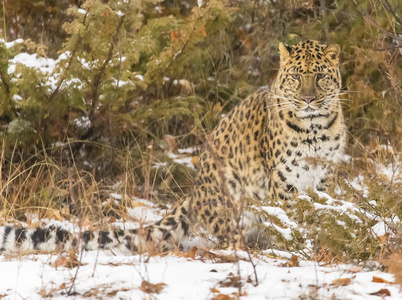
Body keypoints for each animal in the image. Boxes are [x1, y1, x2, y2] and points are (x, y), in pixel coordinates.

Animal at [0, 39, 346, 253]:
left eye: (320, 76)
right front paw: (296, 247)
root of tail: (195, 192)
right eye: (296, 77)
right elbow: (289, 221)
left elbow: (324, 216)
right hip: (233, 196)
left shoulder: (326, 178)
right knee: (231, 237)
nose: (308, 99)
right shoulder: (284, 181)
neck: (314, 127)